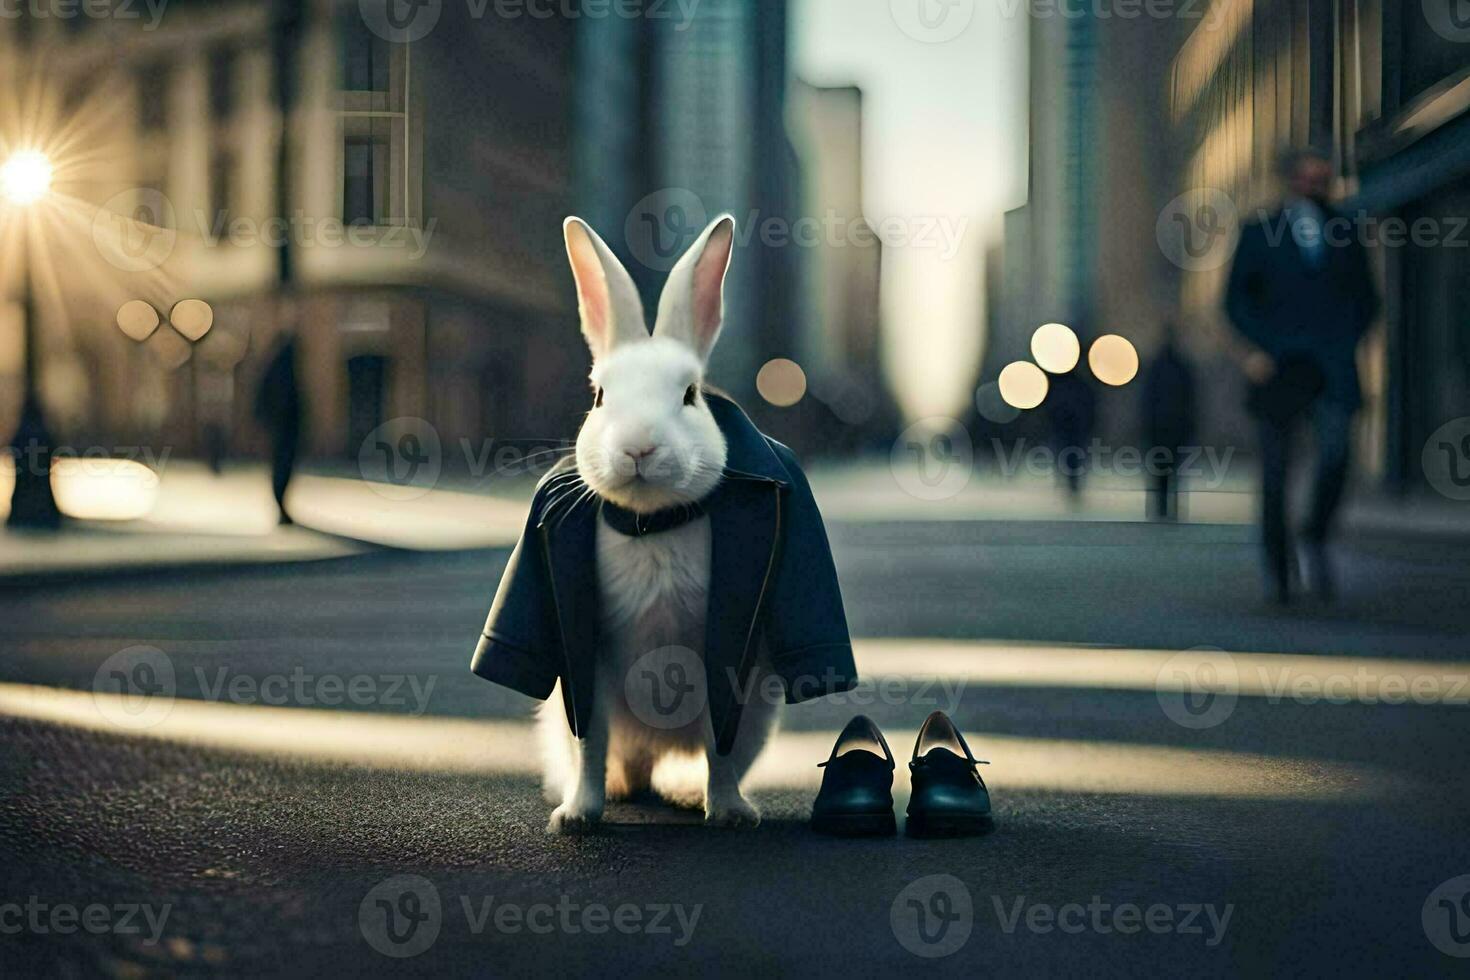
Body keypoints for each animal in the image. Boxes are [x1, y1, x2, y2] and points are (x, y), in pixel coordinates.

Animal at [540, 211, 782, 834]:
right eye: (600, 397)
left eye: (691, 395)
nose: (638, 448)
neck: (653, 523)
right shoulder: (589, 675)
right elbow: (591, 747)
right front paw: (577, 817)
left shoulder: (731, 674)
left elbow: (722, 753)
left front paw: (729, 815)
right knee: (620, 759)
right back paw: (623, 790)